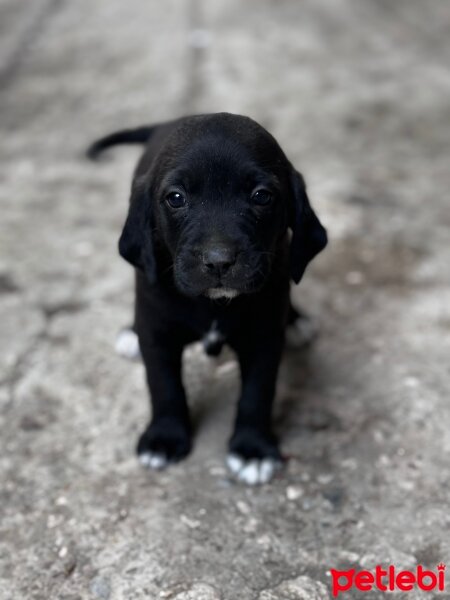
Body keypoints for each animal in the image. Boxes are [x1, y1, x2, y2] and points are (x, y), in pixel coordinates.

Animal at [89, 115, 326, 486]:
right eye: (176, 198)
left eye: (261, 196)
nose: (218, 261)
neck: (213, 303)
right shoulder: (157, 334)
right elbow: (164, 386)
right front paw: (164, 438)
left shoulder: (263, 339)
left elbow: (257, 393)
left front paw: (253, 449)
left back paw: (296, 321)